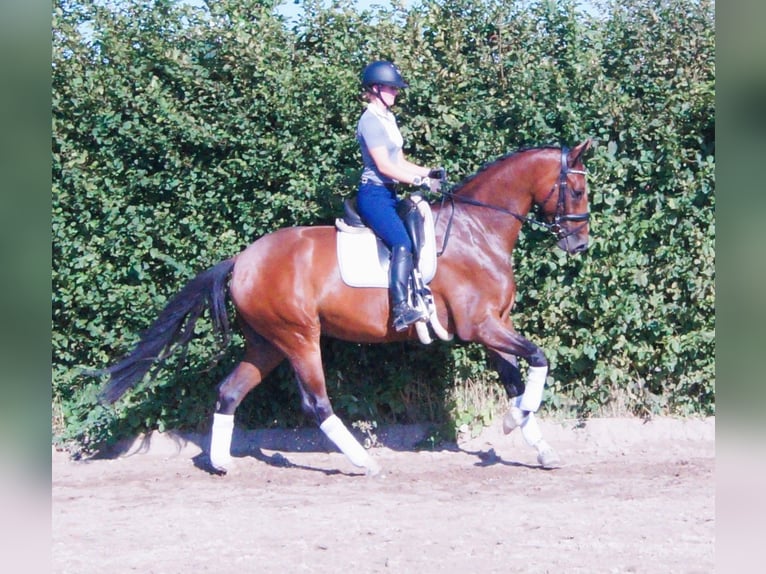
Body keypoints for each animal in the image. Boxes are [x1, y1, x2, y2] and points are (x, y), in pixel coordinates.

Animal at [100, 141, 592, 476]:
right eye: (578, 189)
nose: (580, 244)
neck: (477, 229)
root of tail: (241, 260)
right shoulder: (482, 326)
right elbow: (539, 359)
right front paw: (514, 422)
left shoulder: (494, 325)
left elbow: (516, 380)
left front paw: (536, 442)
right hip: (299, 337)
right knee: (316, 402)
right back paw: (363, 462)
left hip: (266, 343)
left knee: (229, 391)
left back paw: (222, 464)